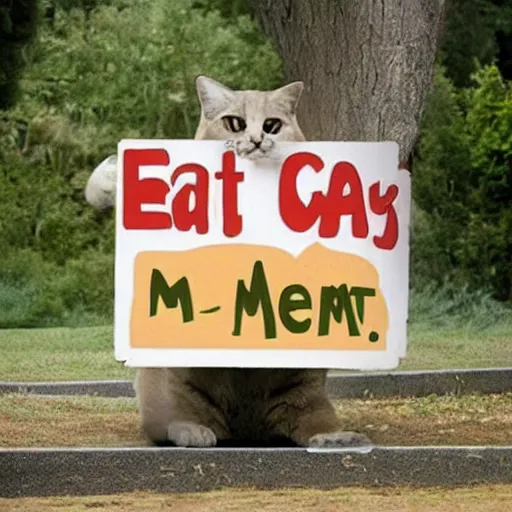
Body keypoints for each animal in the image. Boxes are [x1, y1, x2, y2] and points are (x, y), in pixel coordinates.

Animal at [84, 76, 372, 448]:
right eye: (234, 123)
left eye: (272, 125)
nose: (257, 140)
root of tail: (245, 429)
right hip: (176, 381)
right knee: (172, 419)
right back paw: (191, 430)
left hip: (303, 385)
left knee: (309, 419)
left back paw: (334, 437)